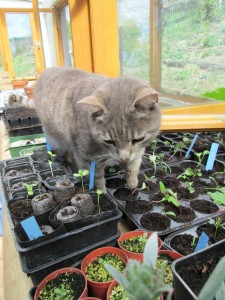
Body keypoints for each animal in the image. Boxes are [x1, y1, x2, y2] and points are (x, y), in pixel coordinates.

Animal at [33, 67, 161, 192]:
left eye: (138, 139)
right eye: (109, 141)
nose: (124, 159)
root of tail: (46, 71)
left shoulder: (139, 150)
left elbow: (135, 163)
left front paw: (132, 182)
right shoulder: (87, 158)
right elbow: (97, 180)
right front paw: (103, 194)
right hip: (57, 139)